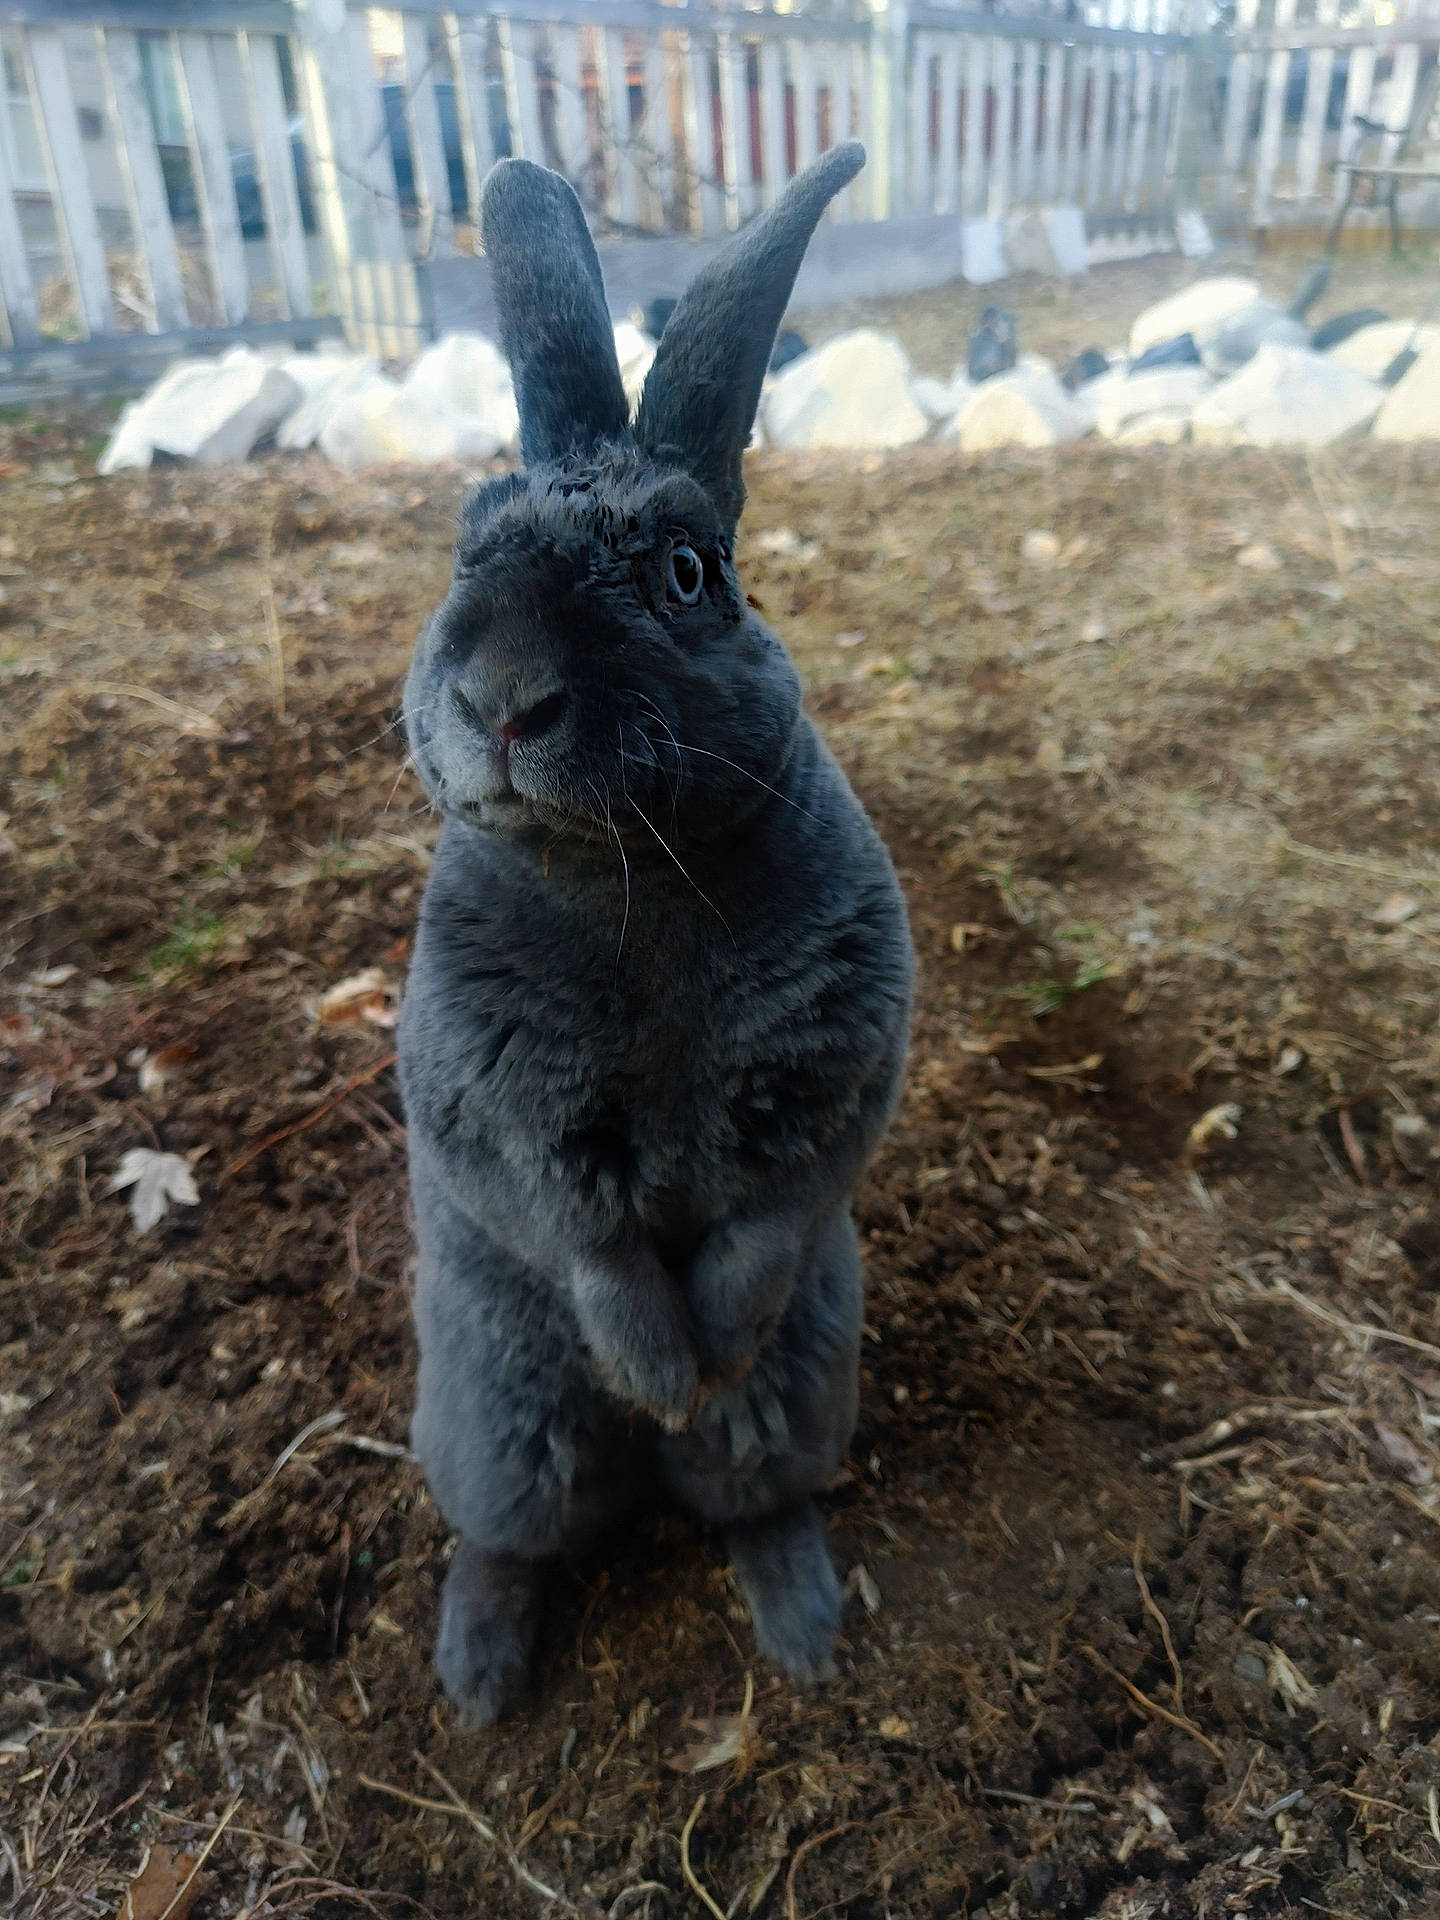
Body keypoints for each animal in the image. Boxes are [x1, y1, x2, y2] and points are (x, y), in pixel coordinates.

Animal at [397, 140, 914, 1729]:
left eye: (687, 575)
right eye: (461, 553)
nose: (502, 701)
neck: (633, 874)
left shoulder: (837, 1075)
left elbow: (769, 1214)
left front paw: (700, 1361)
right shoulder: (500, 1117)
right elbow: (583, 1238)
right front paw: (657, 1362)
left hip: (806, 1384)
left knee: (748, 1489)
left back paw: (799, 1622)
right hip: (503, 1420)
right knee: (513, 1534)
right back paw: (479, 1681)